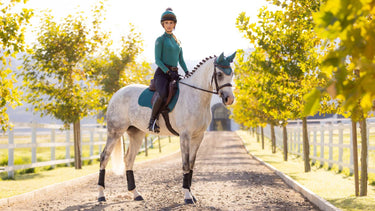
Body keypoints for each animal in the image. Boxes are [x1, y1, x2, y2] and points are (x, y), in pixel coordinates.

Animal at [98, 51, 236, 204]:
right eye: (219, 74)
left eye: (232, 74)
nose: (229, 99)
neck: (195, 96)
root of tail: (116, 94)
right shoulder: (185, 135)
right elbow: (185, 164)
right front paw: (187, 197)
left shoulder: (198, 136)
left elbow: (191, 165)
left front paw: (192, 195)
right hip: (115, 132)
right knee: (104, 157)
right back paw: (101, 195)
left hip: (136, 134)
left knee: (128, 159)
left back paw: (136, 194)